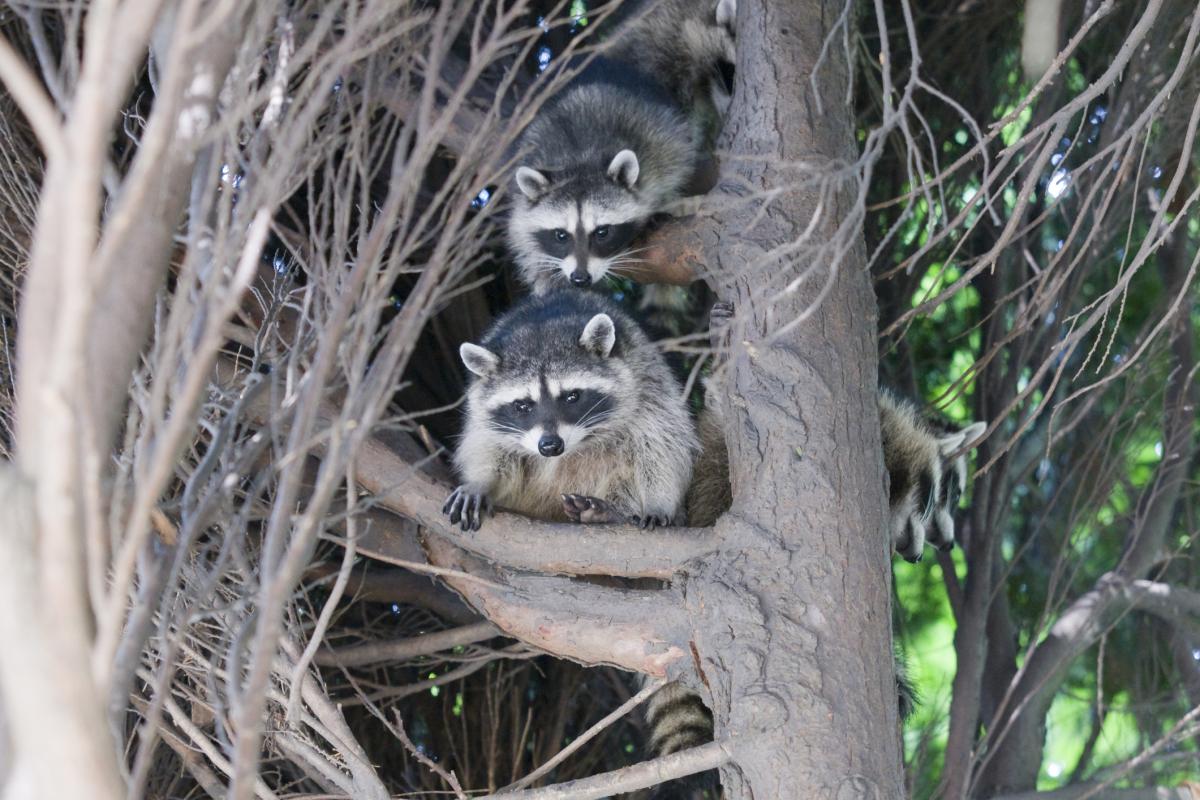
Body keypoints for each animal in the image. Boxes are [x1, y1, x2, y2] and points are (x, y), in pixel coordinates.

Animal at [446, 287, 700, 532]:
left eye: (572, 396)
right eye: (522, 405)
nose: (550, 446)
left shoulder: (647, 383)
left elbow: (662, 445)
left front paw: (658, 501)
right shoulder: (482, 412)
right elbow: (488, 447)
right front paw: (480, 481)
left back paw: (611, 512)